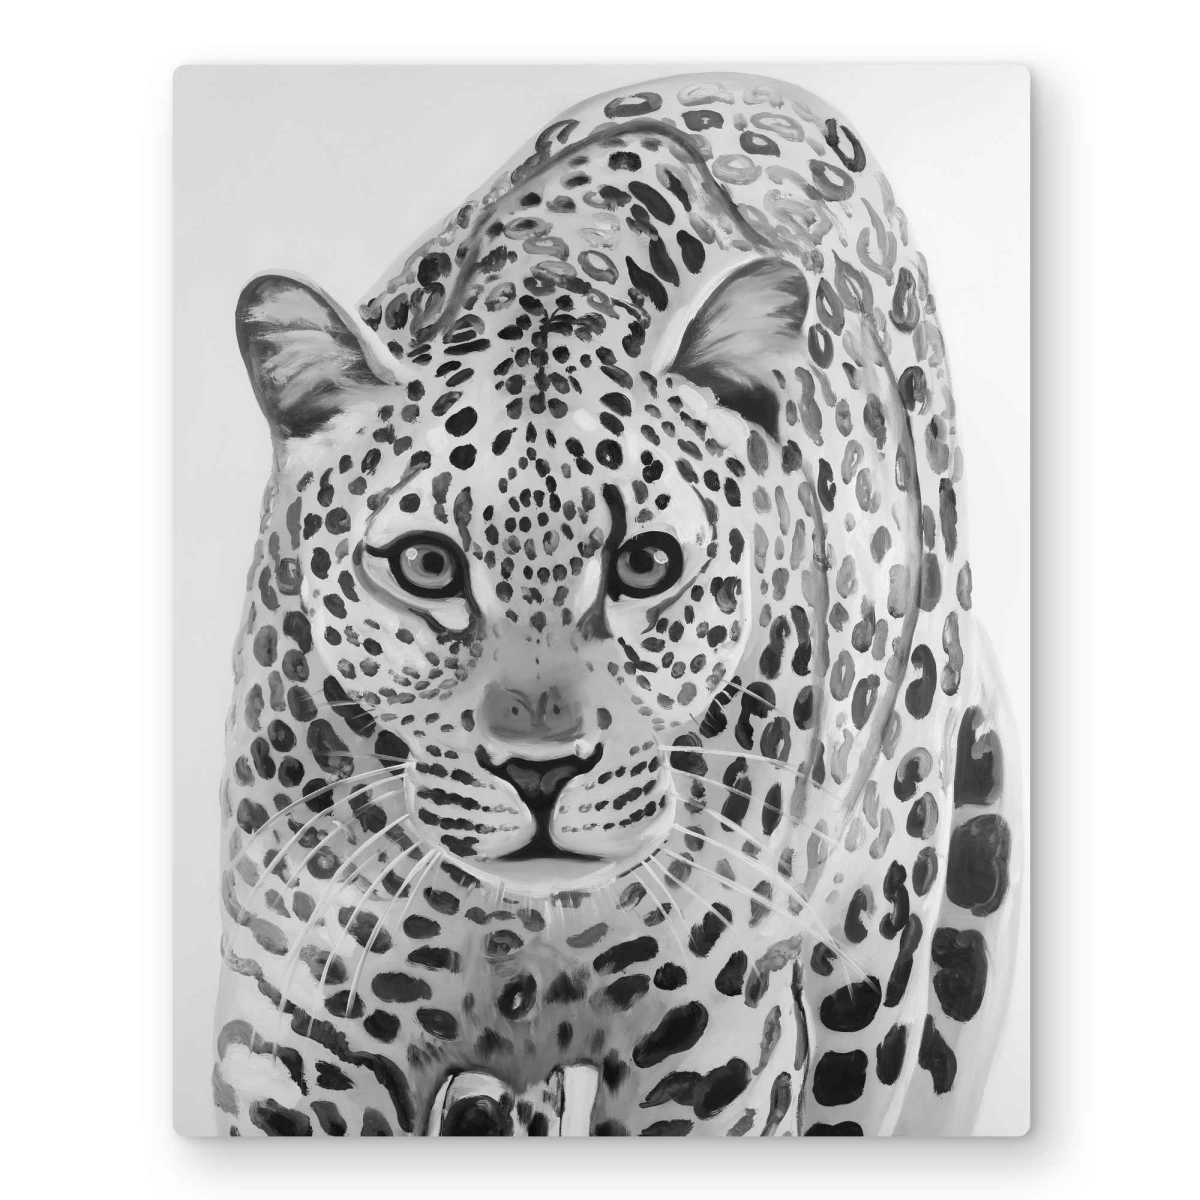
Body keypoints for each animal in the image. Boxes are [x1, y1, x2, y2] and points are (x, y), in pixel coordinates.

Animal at [211, 71, 1021, 1137]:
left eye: (644, 564)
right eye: (427, 565)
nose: (541, 772)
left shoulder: (720, 1044)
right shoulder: (294, 1030)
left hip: (884, 935)